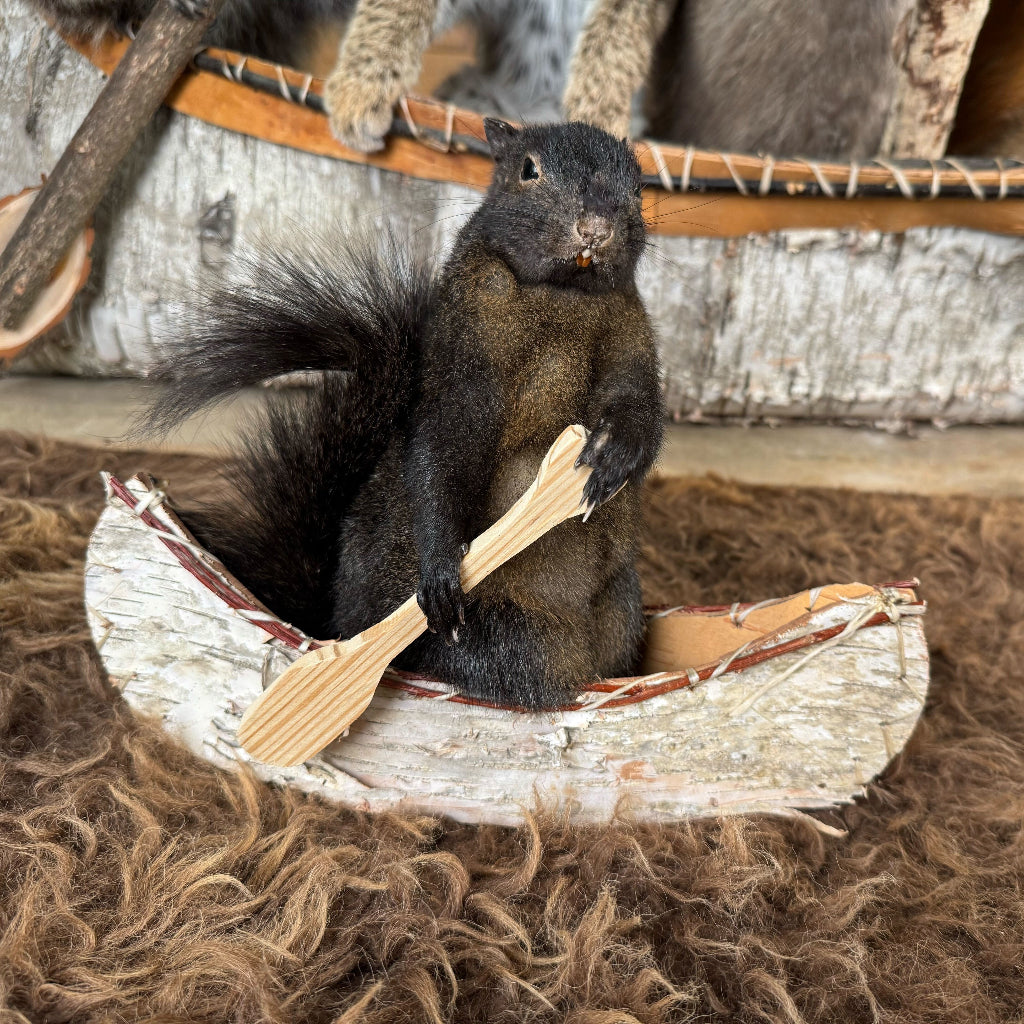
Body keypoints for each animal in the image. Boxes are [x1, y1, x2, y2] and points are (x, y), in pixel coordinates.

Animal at [145, 119, 665, 710]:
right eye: (528, 170)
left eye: (638, 186)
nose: (595, 227)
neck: (563, 295)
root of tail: (336, 620)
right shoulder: (464, 345)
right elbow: (443, 443)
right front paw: (441, 568)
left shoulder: (630, 332)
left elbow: (641, 409)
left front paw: (613, 456)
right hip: (507, 635)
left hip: (621, 615)